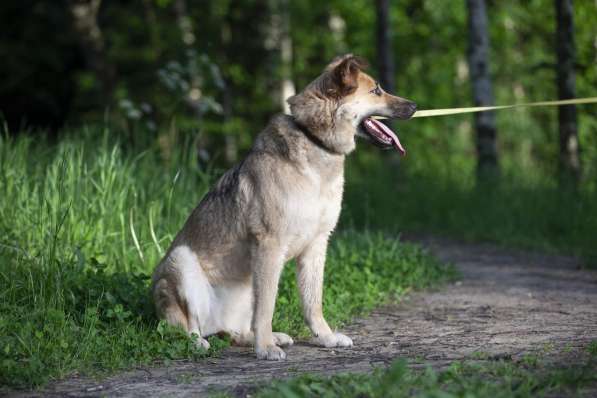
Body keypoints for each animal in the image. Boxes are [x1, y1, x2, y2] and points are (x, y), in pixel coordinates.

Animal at [151, 53, 416, 360]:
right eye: (376, 90)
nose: (415, 106)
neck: (316, 142)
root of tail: (214, 326)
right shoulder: (270, 245)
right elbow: (267, 307)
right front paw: (265, 348)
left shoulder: (316, 246)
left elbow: (313, 302)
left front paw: (325, 338)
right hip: (181, 262)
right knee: (188, 326)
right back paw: (201, 343)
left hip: (245, 287)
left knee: (236, 331)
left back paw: (264, 337)